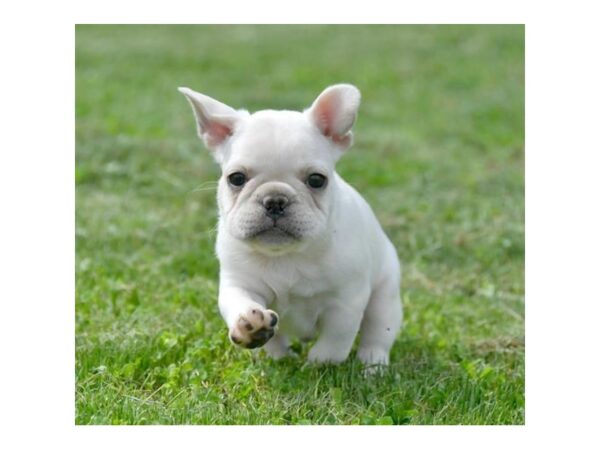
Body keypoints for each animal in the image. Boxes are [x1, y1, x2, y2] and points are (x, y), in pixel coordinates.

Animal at [178, 84, 404, 366]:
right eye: (236, 178)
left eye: (317, 180)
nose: (275, 200)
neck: (284, 256)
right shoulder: (239, 283)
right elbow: (241, 305)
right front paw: (254, 331)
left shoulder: (346, 302)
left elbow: (336, 340)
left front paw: (320, 363)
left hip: (385, 298)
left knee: (377, 333)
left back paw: (372, 364)